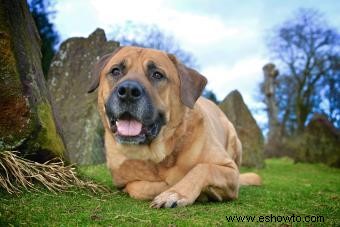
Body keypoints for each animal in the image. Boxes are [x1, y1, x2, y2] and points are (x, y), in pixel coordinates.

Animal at [87, 45, 260, 207]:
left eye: (157, 74)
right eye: (115, 71)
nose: (128, 91)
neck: (157, 156)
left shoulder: (230, 170)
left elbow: (203, 168)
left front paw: (176, 193)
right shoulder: (123, 181)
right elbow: (139, 187)